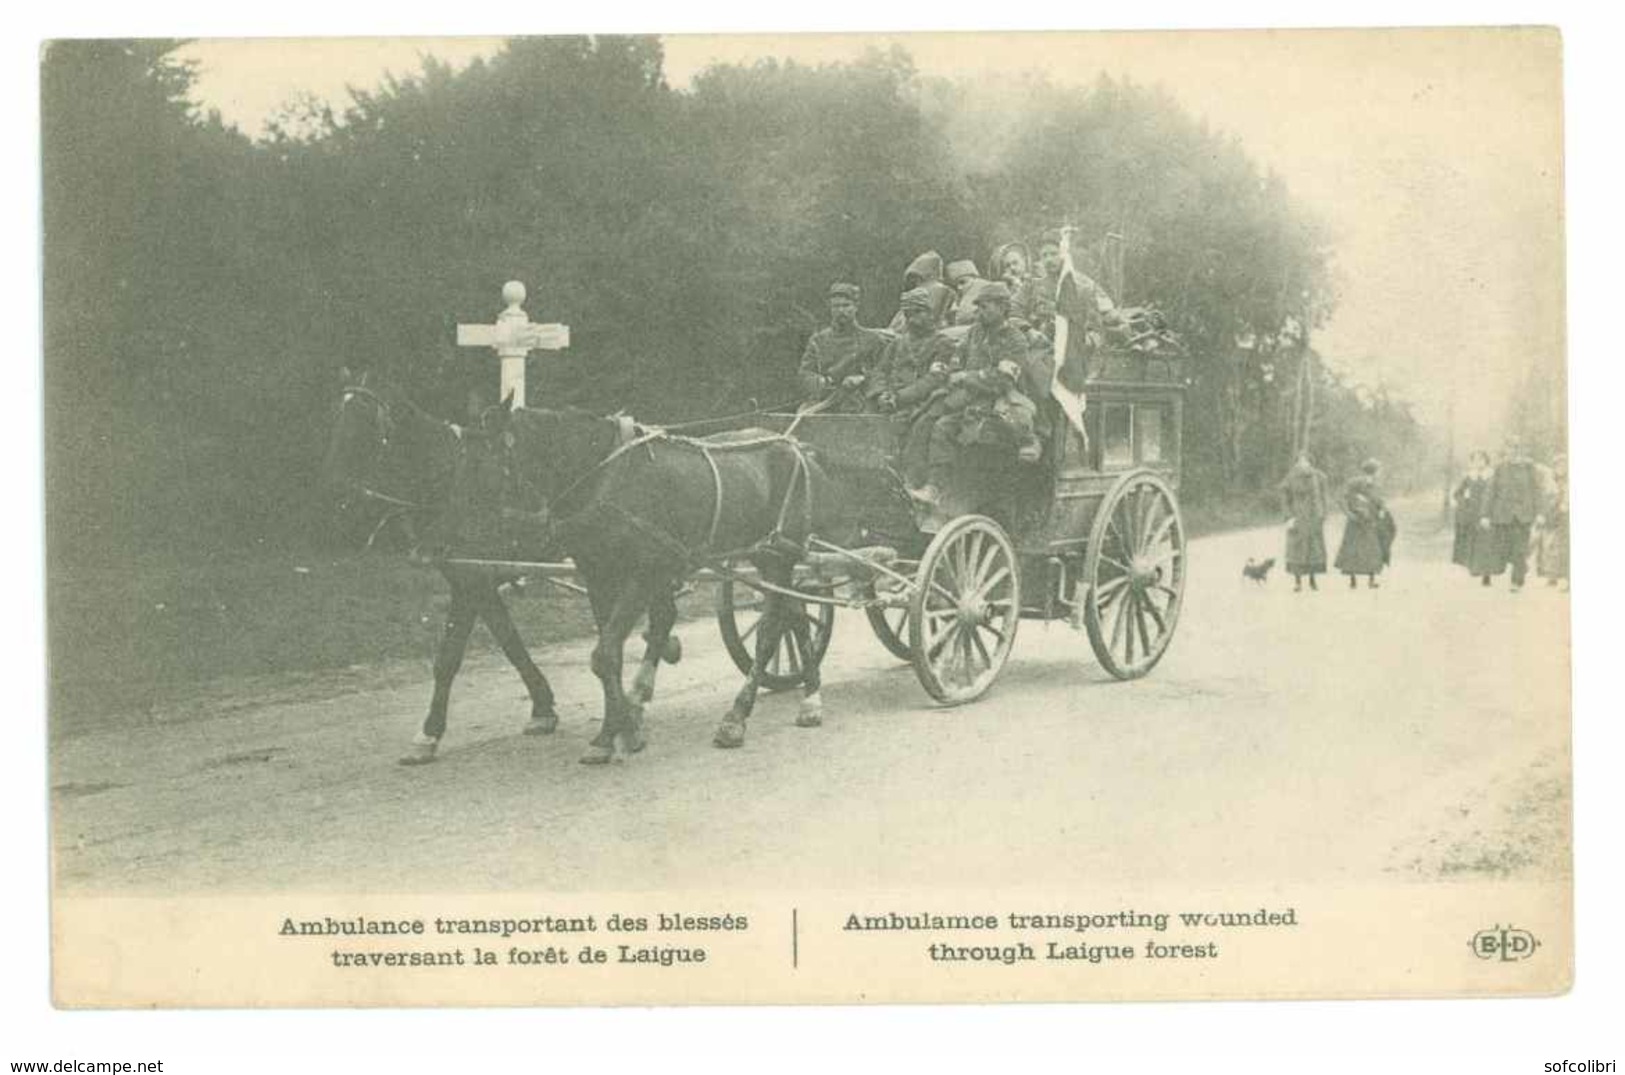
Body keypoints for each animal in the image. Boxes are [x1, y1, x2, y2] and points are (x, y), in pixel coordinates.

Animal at [320, 378, 588, 766]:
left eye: (368, 424)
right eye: (335, 418)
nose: (333, 490)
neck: (454, 486)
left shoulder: (471, 583)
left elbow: (448, 659)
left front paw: (428, 733)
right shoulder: (475, 580)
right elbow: (510, 642)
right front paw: (542, 708)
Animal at [445, 402, 851, 766]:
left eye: (486, 467)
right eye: (460, 465)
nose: (459, 553)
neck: (603, 476)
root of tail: (795, 446)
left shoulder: (644, 573)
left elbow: (605, 653)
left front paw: (621, 732)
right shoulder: (599, 575)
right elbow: (610, 654)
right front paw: (616, 731)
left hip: (780, 556)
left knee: (770, 631)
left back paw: (737, 718)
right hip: (770, 558)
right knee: (794, 616)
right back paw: (810, 698)